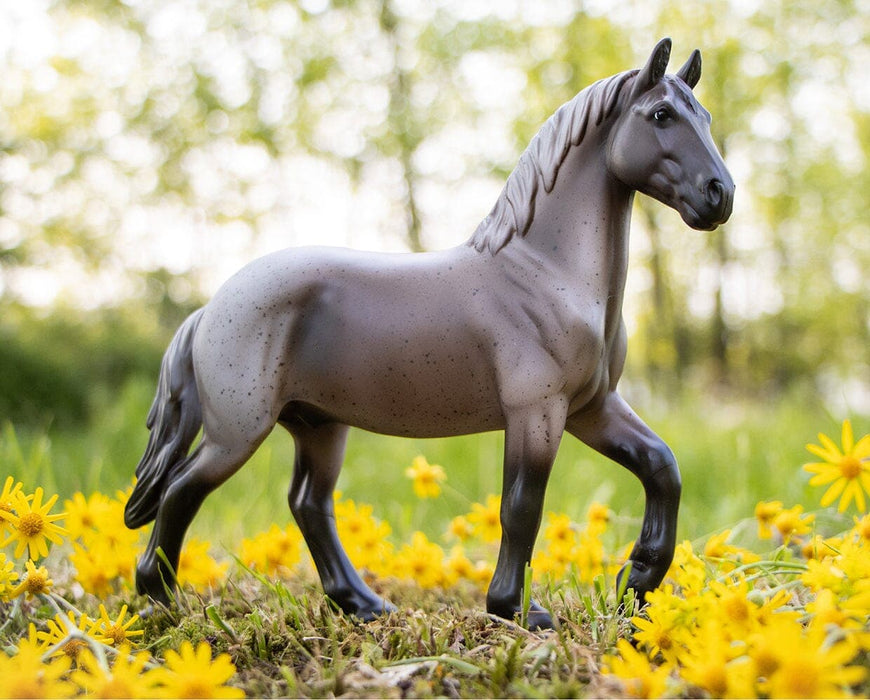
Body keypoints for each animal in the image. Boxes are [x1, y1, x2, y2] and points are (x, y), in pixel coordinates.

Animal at [124, 38, 736, 628]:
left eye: (705, 114)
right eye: (660, 114)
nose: (720, 195)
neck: (547, 272)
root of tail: (211, 307)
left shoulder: (591, 407)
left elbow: (662, 467)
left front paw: (637, 581)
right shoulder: (537, 412)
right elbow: (521, 507)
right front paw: (518, 610)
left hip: (318, 425)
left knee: (308, 504)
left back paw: (363, 604)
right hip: (238, 432)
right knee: (181, 491)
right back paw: (162, 598)